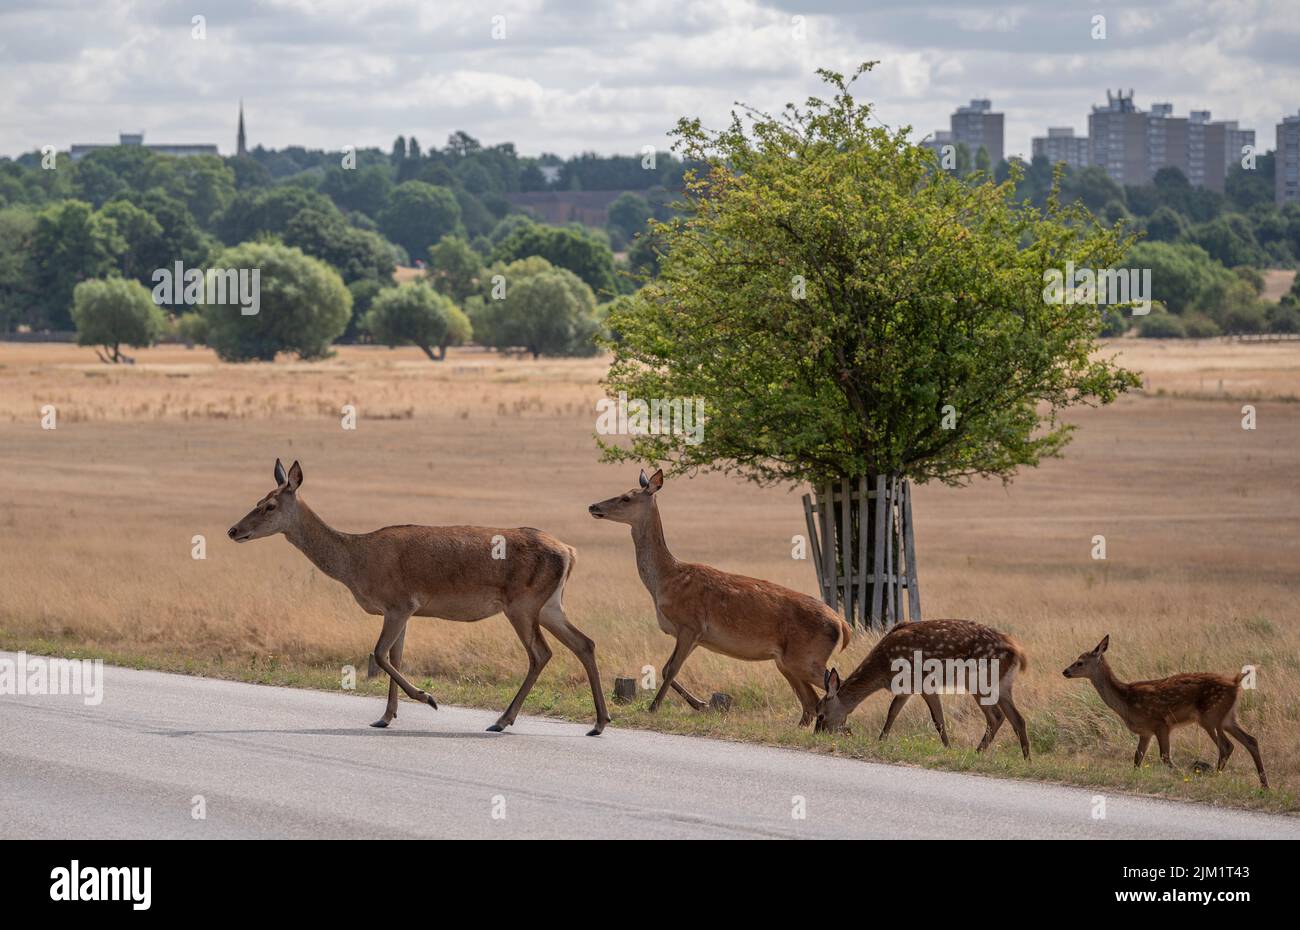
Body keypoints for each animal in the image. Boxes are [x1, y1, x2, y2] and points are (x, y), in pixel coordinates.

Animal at [231, 457, 611, 733]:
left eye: (269, 506)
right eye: (257, 500)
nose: (234, 530)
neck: (356, 564)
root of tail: (569, 552)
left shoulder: (399, 602)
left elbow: (380, 654)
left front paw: (428, 698)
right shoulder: (403, 610)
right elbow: (395, 657)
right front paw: (386, 716)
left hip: (522, 603)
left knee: (541, 653)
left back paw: (502, 720)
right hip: (550, 604)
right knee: (584, 643)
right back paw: (599, 722)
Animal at [590, 465, 852, 728]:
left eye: (626, 497)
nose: (593, 506)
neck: (664, 581)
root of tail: (841, 623)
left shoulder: (690, 624)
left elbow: (671, 668)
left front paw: (654, 708)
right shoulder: (695, 636)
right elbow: (665, 669)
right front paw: (701, 704)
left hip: (806, 656)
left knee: (833, 684)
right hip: (786, 661)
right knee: (810, 701)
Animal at [811, 619, 1034, 754]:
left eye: (820, 715)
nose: (816, 735)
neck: (882, 669)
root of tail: (1018, 651)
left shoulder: (923, 682)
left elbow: (938, 720)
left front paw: (948, 749)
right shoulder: (906, 688)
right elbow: (892, 713)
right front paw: (881, 741)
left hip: (977, 678)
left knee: (996, 716)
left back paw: (978, 752)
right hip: (1003, 685)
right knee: (1017, 719)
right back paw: (1026, 759)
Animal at [1060, 637, 1263, 790]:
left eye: (1080, 662)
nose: (1065, 671)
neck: (1126, 701)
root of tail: (1235, 682)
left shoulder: (1161, 723)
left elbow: (1165, 757)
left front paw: (1181, 775)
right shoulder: (1145, 732)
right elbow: (1137, 759)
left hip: (1210, 716)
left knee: (1226, 746)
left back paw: (1216, 777)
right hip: (1227, 717)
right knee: (1251, 740)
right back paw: (1264, 784)